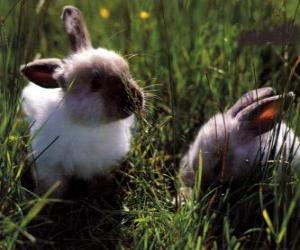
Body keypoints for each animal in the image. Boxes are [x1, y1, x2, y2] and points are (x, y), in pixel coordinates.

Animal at [20, 5, 144, 196]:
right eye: (95, 84)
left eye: (126, 70)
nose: (137, 100)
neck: (89, 126)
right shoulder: (49, 167)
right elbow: (55, 187)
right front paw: (50, 200)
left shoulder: (101, 167)